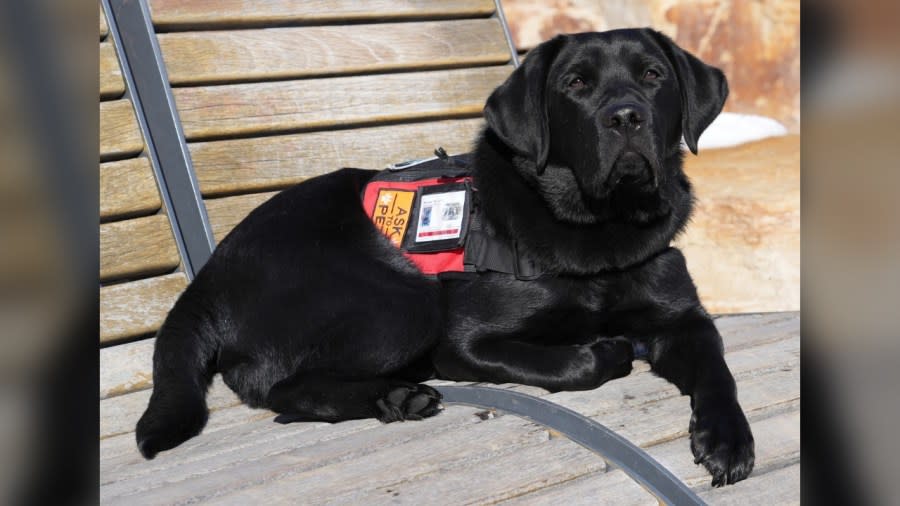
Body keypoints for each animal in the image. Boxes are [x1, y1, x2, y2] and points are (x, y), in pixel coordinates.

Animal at [135, 27, 752, 486]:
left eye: (652, 76)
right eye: (575, 84)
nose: (625, 116)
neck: (600, 230)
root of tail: (207, 278)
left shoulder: (684, 320)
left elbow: (718, 371)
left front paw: (727, 439)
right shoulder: (462, 340)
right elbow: (575, 362)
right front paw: (606, 349)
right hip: (405, 302)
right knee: (280, 387)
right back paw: (396, 394)